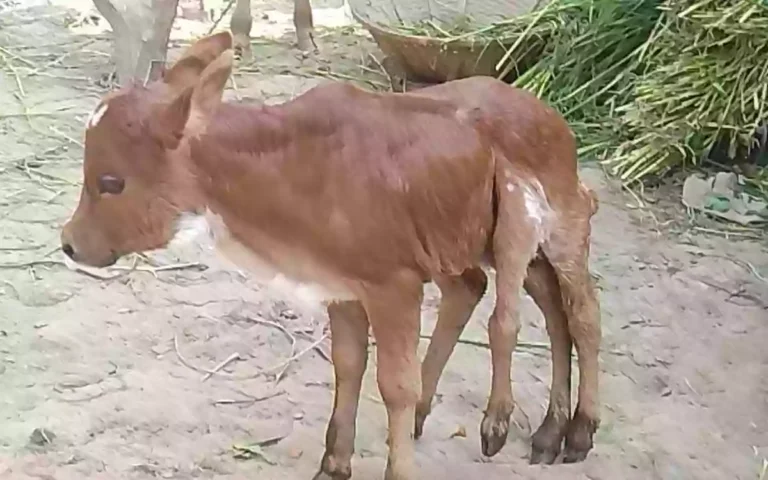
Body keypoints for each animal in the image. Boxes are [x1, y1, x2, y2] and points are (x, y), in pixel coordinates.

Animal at [60, 31, 601, 480]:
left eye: (111, 182)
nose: (68, 243)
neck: (297, 169)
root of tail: (547, 114)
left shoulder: (394, 284)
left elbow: (394, 385)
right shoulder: (343, 286)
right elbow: (348, 365)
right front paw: (334, 463)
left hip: (561, 227)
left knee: (581, 314)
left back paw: (576, 430)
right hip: (484, 244)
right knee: (521, 301)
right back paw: (543, 431)